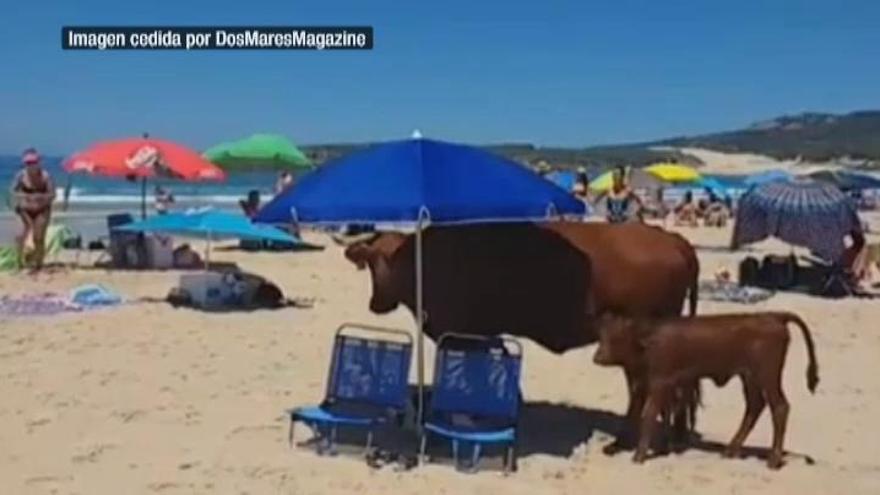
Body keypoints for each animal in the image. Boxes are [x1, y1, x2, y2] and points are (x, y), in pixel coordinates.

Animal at [342, 223, 700, 452]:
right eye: (371, 261)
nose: (376, 304)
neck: (421, 258)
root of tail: (670, 238)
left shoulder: (457, 333)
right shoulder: (483, 334)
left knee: (641, 389)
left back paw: (624, 441)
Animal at [592, 312, 820, 470]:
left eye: (619, 337)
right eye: (601, 335)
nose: (597, 357)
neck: (648, 343)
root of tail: (774, 316)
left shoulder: (659, 384)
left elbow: (649, 416)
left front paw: (639, 456)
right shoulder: (651, 386)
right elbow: (645, 414)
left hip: (767, 376)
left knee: (779, 407)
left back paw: (773, 460)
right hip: (749, 377)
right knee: (755, 406)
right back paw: (731, 450)